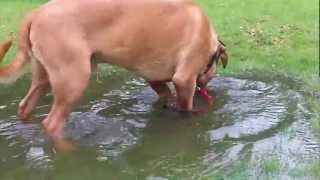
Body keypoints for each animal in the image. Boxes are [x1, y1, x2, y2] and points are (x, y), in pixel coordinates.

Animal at [0, 0, 228, 146]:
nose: (205, 89)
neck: (209, 41)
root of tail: (36, 12)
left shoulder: (155, 80)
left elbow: (165, 97)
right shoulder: (184, 80)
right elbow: (185, 110)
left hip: (43, 78)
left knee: (24, 107)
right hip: (73, 81)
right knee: (52, 124)